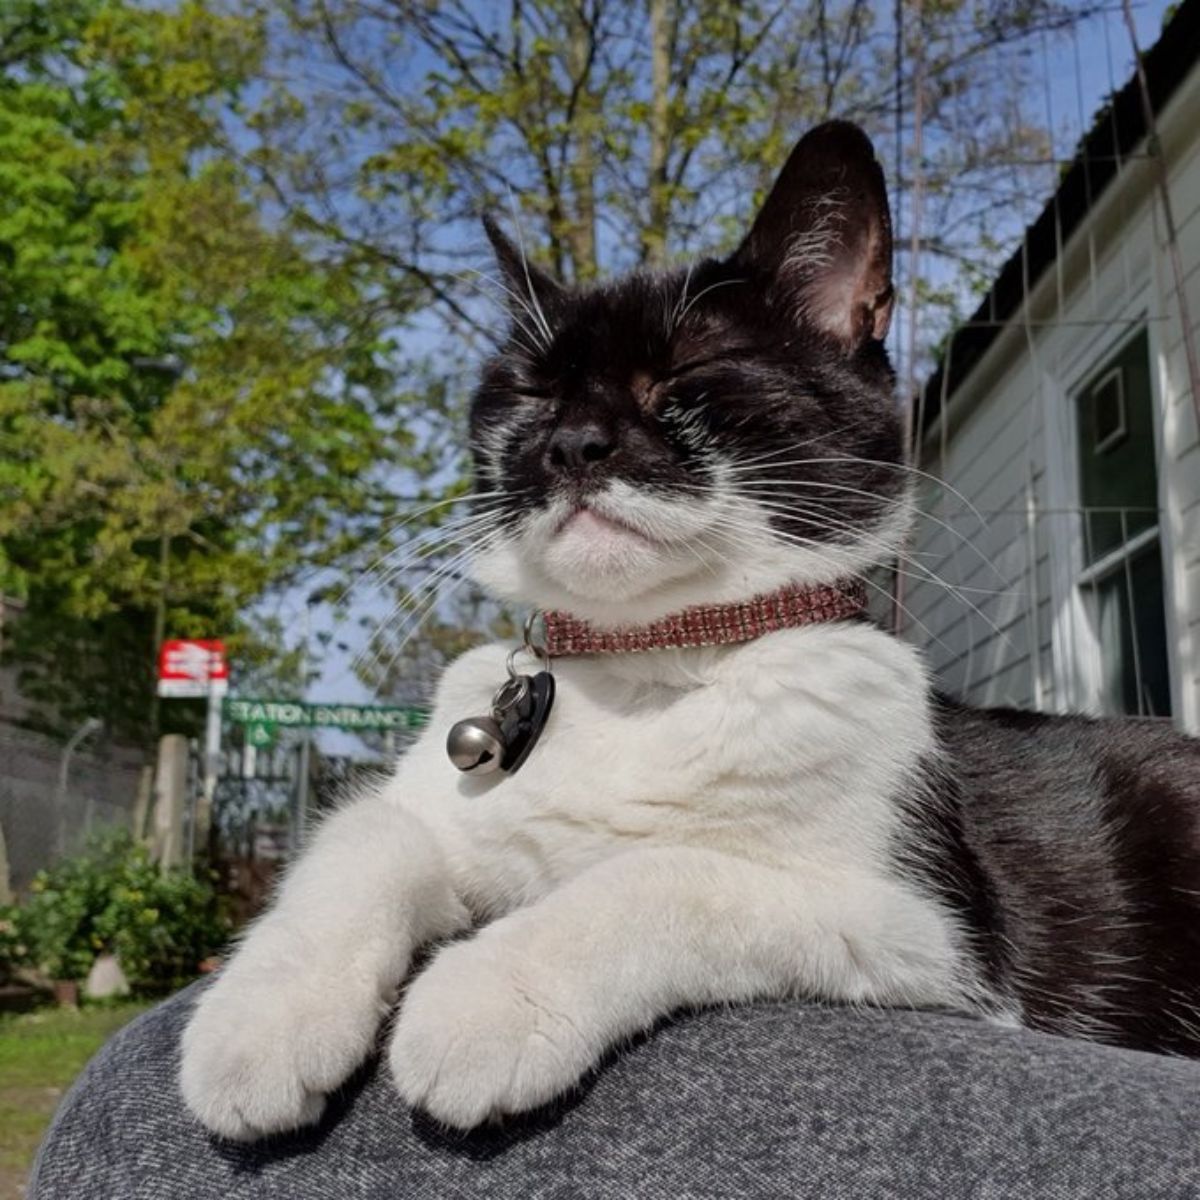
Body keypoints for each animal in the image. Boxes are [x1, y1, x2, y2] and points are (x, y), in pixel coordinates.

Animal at [177, 124, 1200, 1142]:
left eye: (684, 375)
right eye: (529, 394)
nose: (572, 443)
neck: (644, 669)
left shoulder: (930, 932)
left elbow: (668, 872)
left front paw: (486, 999)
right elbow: (366, 833)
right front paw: (258, 1020)